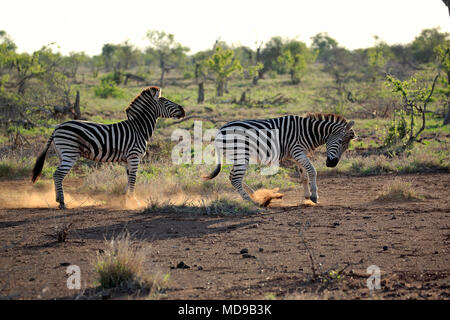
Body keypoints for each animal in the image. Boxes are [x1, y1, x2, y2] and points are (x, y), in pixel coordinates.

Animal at [31, 86, 185, 209]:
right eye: (164, 101)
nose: (183, 110)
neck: (138, 129)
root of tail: (57, 127)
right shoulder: (134, 156)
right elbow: (133, 179)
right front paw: (133, 202)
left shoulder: (127, 159)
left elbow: (129, 179)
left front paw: (125, 199)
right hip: (70, 153)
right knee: (58, 174)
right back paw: (62, 202)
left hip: (62, 154)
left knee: (56, 174)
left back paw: (58, 199)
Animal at [203, 112, 356, 205]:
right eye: (340, 141)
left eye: (346, 146)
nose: (332, 164)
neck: (308, 132)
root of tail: (219, 131)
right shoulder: (297, 151)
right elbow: (312, 171)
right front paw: (314, 196)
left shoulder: (297, 155)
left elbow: (304, 176)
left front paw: (306, 196)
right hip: (240, 155)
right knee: (235, 178)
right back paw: (253, 203)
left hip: (236, 156)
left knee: (232, 177)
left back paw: (253, 194)